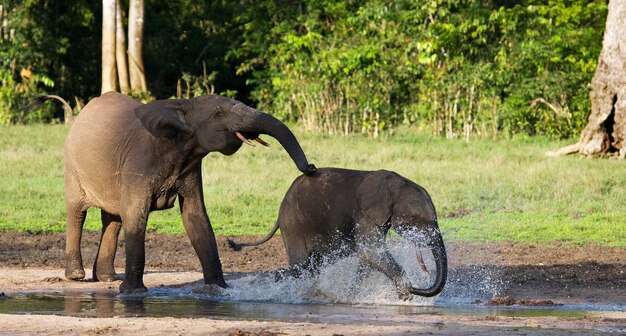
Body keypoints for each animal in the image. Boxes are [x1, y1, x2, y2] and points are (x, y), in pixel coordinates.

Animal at [64, 90, 312, 292]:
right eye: (218, 114)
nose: (311, 168)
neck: (184, 107)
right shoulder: (139, 162)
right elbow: (136, 215)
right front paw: (132, 292)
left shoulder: (191, 166)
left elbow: (195, 216)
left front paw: (218, 289)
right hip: (72, 165)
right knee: (77, 212)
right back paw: (76, 276)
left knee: (112, 219)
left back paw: (107, 278)